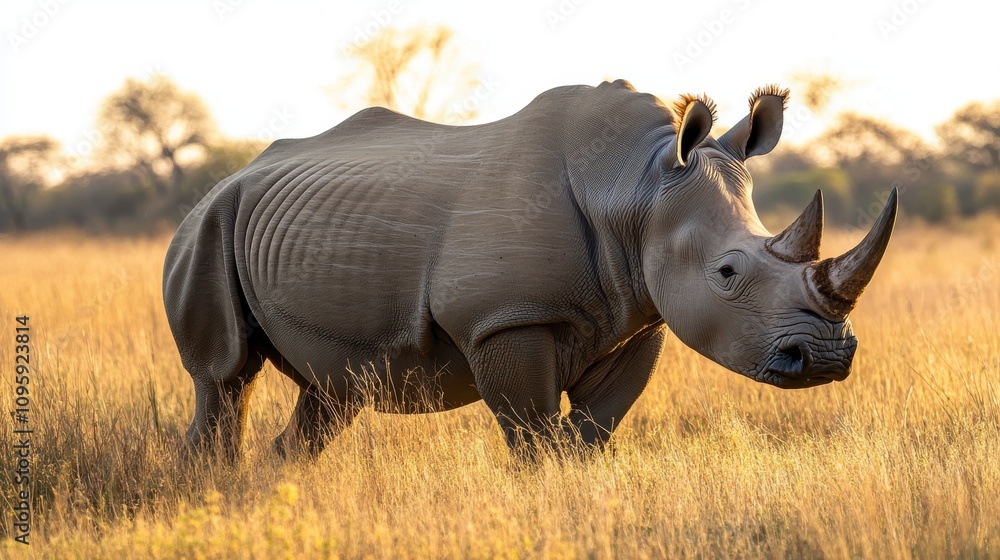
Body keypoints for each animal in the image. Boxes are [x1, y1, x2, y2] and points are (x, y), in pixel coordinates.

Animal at [163, 80, 896, 459]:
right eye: (726, 273)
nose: (827, 357)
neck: (636, 187)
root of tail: (224, 181)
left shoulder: (638, 321)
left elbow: (590, 434)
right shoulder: (504, 322)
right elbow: (534, 441)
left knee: (333, 393)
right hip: (204, 230)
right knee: (224, 379)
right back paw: (217, 487)